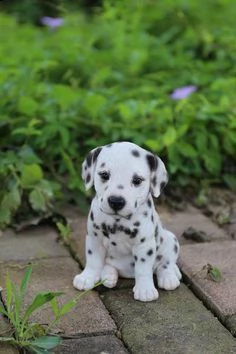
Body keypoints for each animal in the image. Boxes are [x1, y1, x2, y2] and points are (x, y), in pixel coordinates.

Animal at [73, 141, 182, 302]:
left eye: (137, 180)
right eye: (104, 175)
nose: (116, 201)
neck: (118, 221)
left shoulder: (144, 245)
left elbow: (143, 269)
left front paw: (145, 289)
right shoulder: (94, 238)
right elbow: (93, 261)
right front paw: (87, 277)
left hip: (170, 240)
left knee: (166, 262)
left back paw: (169, 276)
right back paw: (109, 275)